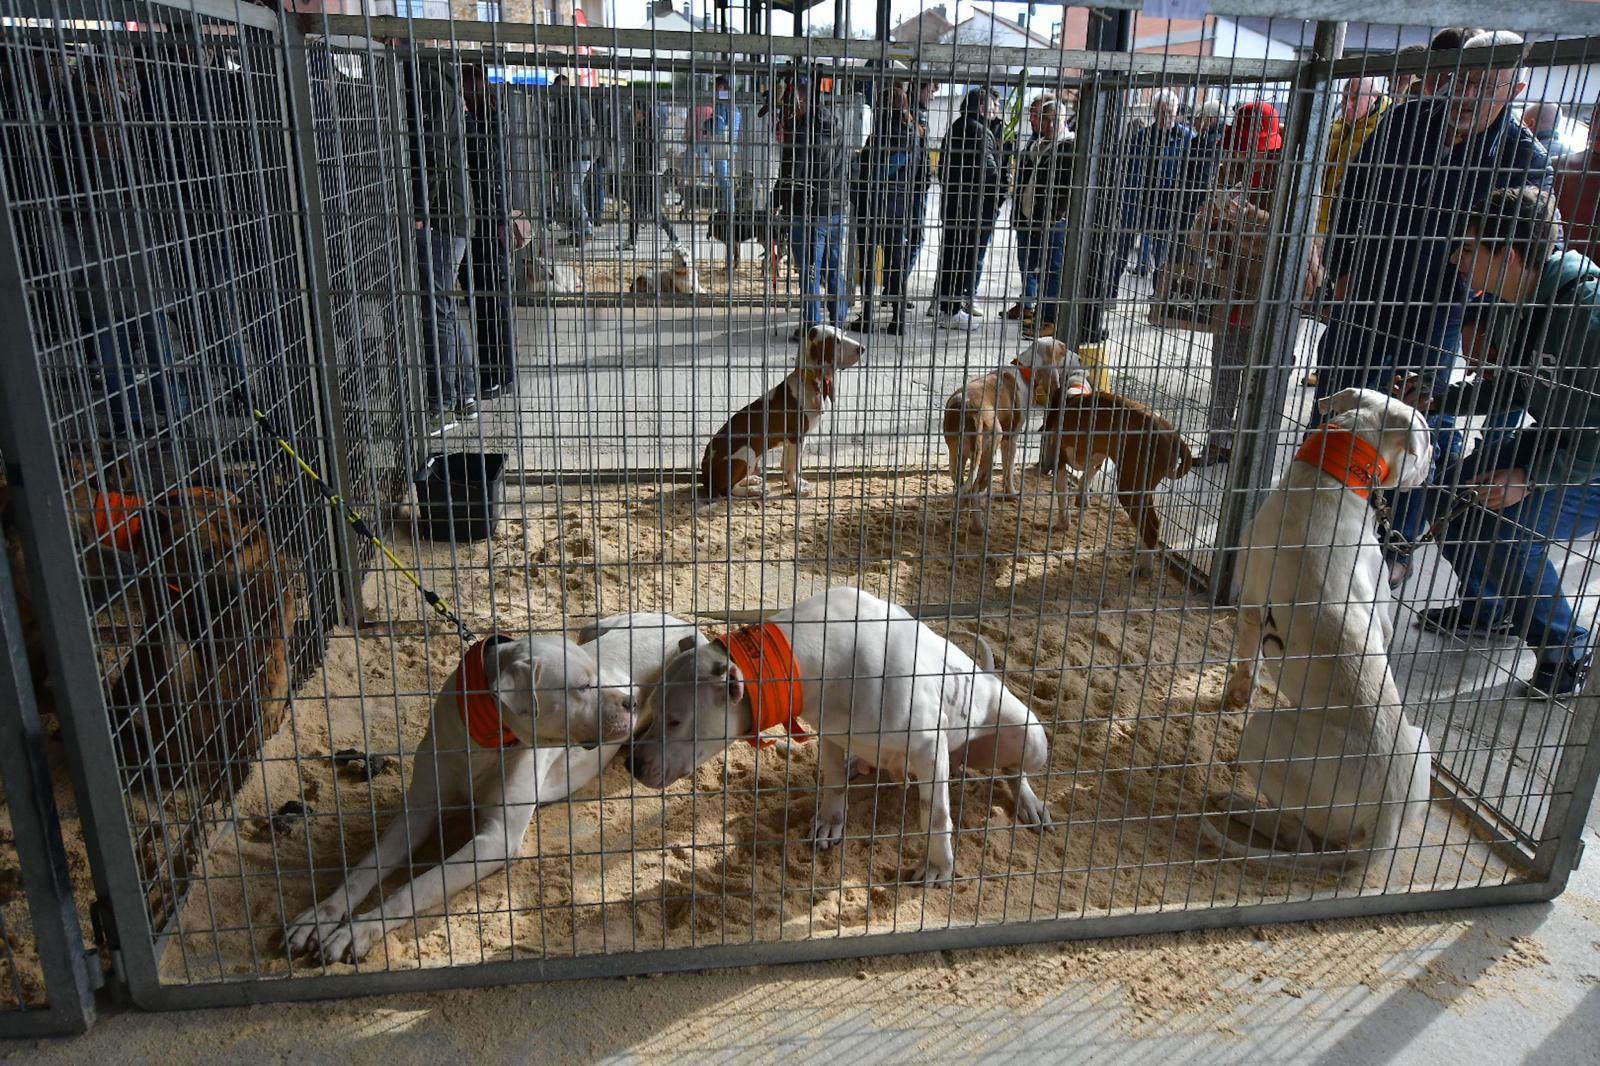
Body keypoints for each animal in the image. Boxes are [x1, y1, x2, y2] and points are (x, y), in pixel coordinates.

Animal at [284, 611, 697, 960]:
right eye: (583, 686)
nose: (631, 701)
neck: (485, 736)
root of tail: (678, 621)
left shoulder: (496, 839)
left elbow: (417, 886)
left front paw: (357, 931)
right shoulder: (417, 811)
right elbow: (366, 867)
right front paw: (321, 916)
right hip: (593, 628)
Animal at [620, 582, 1049, 877]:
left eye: (675, 721)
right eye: (650, 710)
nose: (631, 765)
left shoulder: (929, 748)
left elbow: (937, 815)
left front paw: (939, 865)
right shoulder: (830, 735)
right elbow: (832, 783)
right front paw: (830, 820)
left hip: (1028, 736)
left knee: (1014, 770)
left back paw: (1028, 801)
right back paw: (861, 763)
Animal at [704, 321, 870, 496]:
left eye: (844, 334)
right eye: (836, 341)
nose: (863, 348)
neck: (807, 380)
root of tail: (705, 473)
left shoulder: (790, 441)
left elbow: (786, 465)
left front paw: (796, 483)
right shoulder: (796, 437)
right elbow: (792, 467)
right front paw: (796, 489)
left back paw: (751, 480)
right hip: (747, 451)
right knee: (729, 489)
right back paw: (754, 490)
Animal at [1043, 388, 1196, 573]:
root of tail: (1173, 436)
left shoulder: (1060, 461)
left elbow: (1062, 496)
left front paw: (1062, 523)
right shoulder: (1098, 459)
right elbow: (1085, 479)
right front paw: (1082, 500)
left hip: (1129, 489)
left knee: (1151, 529)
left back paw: (1144, 569)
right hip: (1142, 490)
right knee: (1148, 524)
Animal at [1209, 385, 1440, 857]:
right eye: (1427, 433)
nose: (1439, 453)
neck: (1329, 479)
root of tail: (1386, 816)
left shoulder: (1253, 605)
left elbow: (1247, 661)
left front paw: (1239, 691)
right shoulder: (1380, 609)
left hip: (1266, 735)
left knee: (1299, 835)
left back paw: (1240, 803)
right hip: (1421, 740)